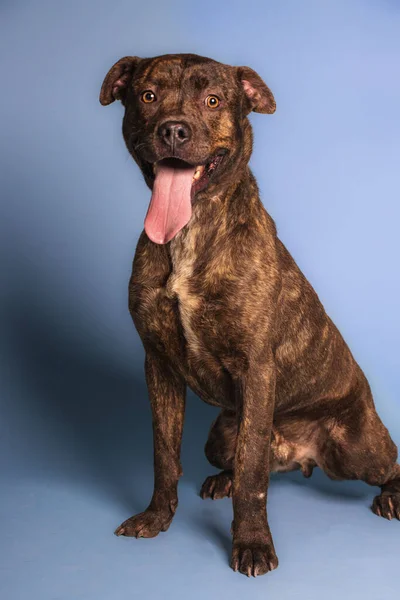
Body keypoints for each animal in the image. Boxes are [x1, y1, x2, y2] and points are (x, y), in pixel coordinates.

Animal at [100, 55, 400, 576]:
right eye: (148, 95)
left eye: (213, 101)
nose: (173, 130)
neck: (191, 229)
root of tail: (300, 457)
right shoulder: (158, 365)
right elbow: (165, 454)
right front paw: (157, 518)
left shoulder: (256, 369)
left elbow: (253, 471)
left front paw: (253, 543)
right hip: (219, 434)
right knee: (237, 460)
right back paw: (222, 479)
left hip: (360, 447)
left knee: (387, 465)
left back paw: (392, 496)